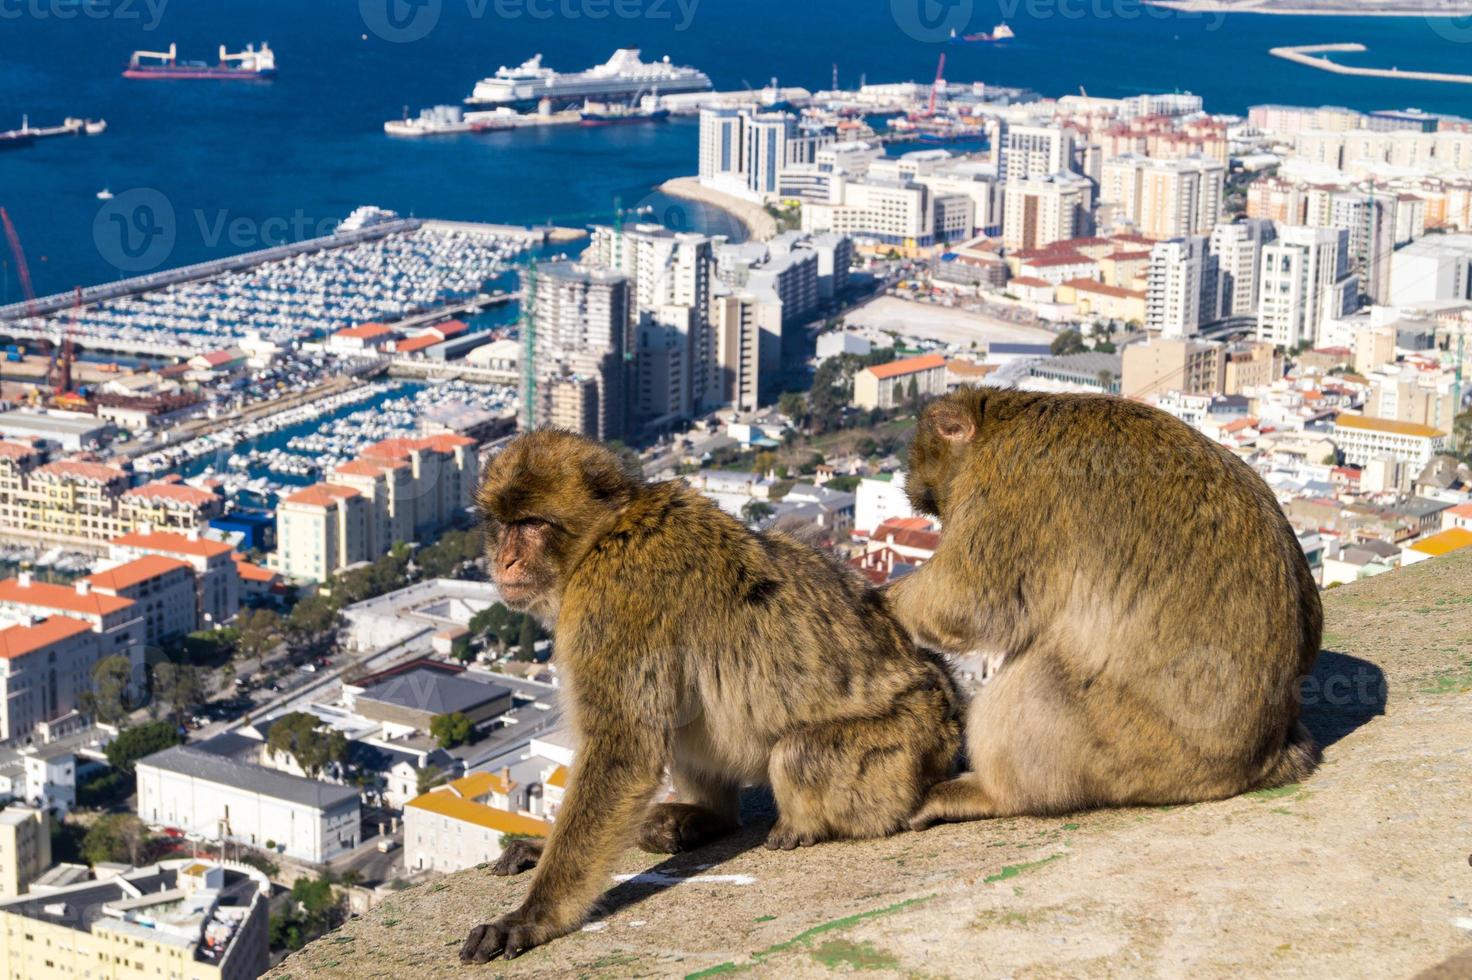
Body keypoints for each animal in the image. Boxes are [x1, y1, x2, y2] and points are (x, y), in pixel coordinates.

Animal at [462, 429, 965, 959]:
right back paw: (700, 819)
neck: (604, 536)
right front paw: (540, 849)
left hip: (904, 750)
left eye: (533, 524)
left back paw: (797, 827)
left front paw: (532, 917)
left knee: (797, 754)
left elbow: (623, 754)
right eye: (503, 524)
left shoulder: (612, 601)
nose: (505, 560)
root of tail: (949, 715)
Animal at [883, 385, 1324, 829]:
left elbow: (966, 600)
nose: (942, 526)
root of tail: (1265, 760)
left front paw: (883, 601)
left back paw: (991, 795)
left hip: (1139, 751)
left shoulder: (1009, 487)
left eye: (936, 502)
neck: (1002, 425)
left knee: (1043, 679)